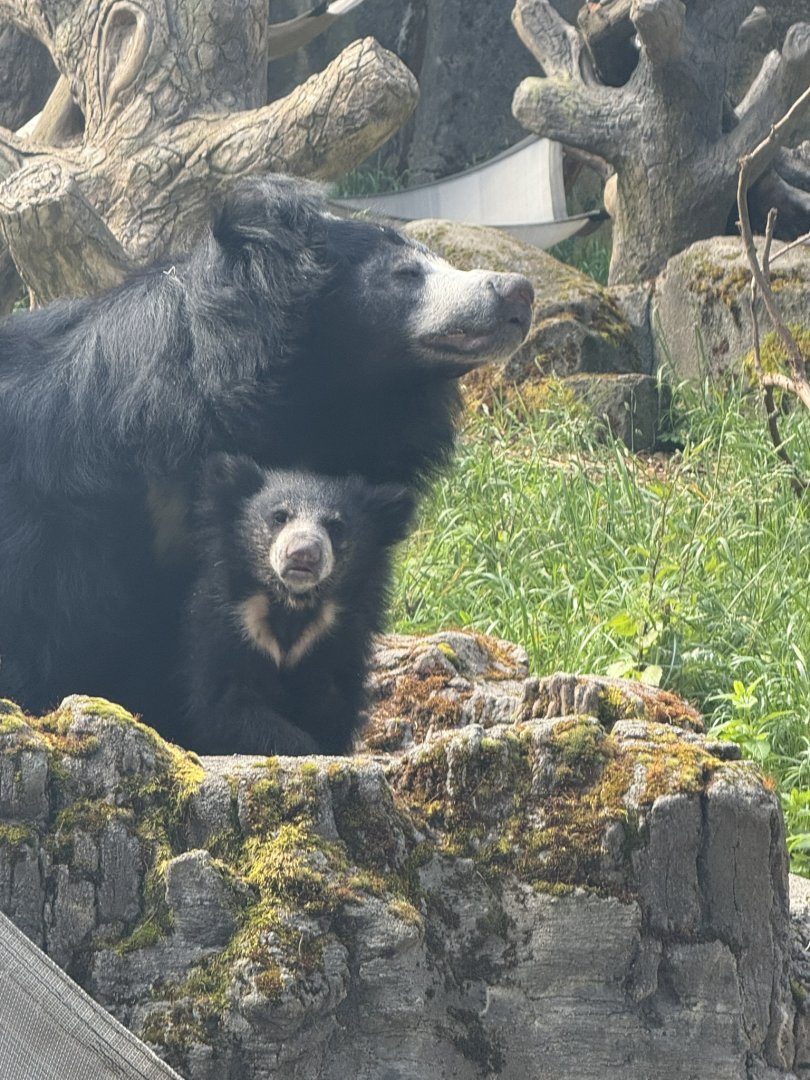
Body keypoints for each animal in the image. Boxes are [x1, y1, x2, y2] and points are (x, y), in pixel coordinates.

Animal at [180, 453, 415, 755]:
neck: (291, 606)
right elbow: (225, 706)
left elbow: (333, 706)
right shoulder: (227, 629)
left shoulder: (334, 644)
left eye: (336, 527)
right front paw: (300, 744)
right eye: (279, 517)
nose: (304, 554)